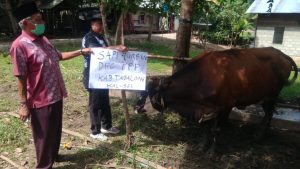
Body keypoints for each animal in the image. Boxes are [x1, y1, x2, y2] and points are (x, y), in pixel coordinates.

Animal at [150, 46, 298, 155]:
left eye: (152, 96)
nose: (142, 108)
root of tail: (282, 54)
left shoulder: (226, 106)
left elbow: (216, 129)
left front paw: (211, 152)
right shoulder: (206, 109)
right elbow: (205, 128)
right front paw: (201, 146)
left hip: (273, 94)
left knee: (269, 113)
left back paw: (260, 135)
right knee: (269, 113)